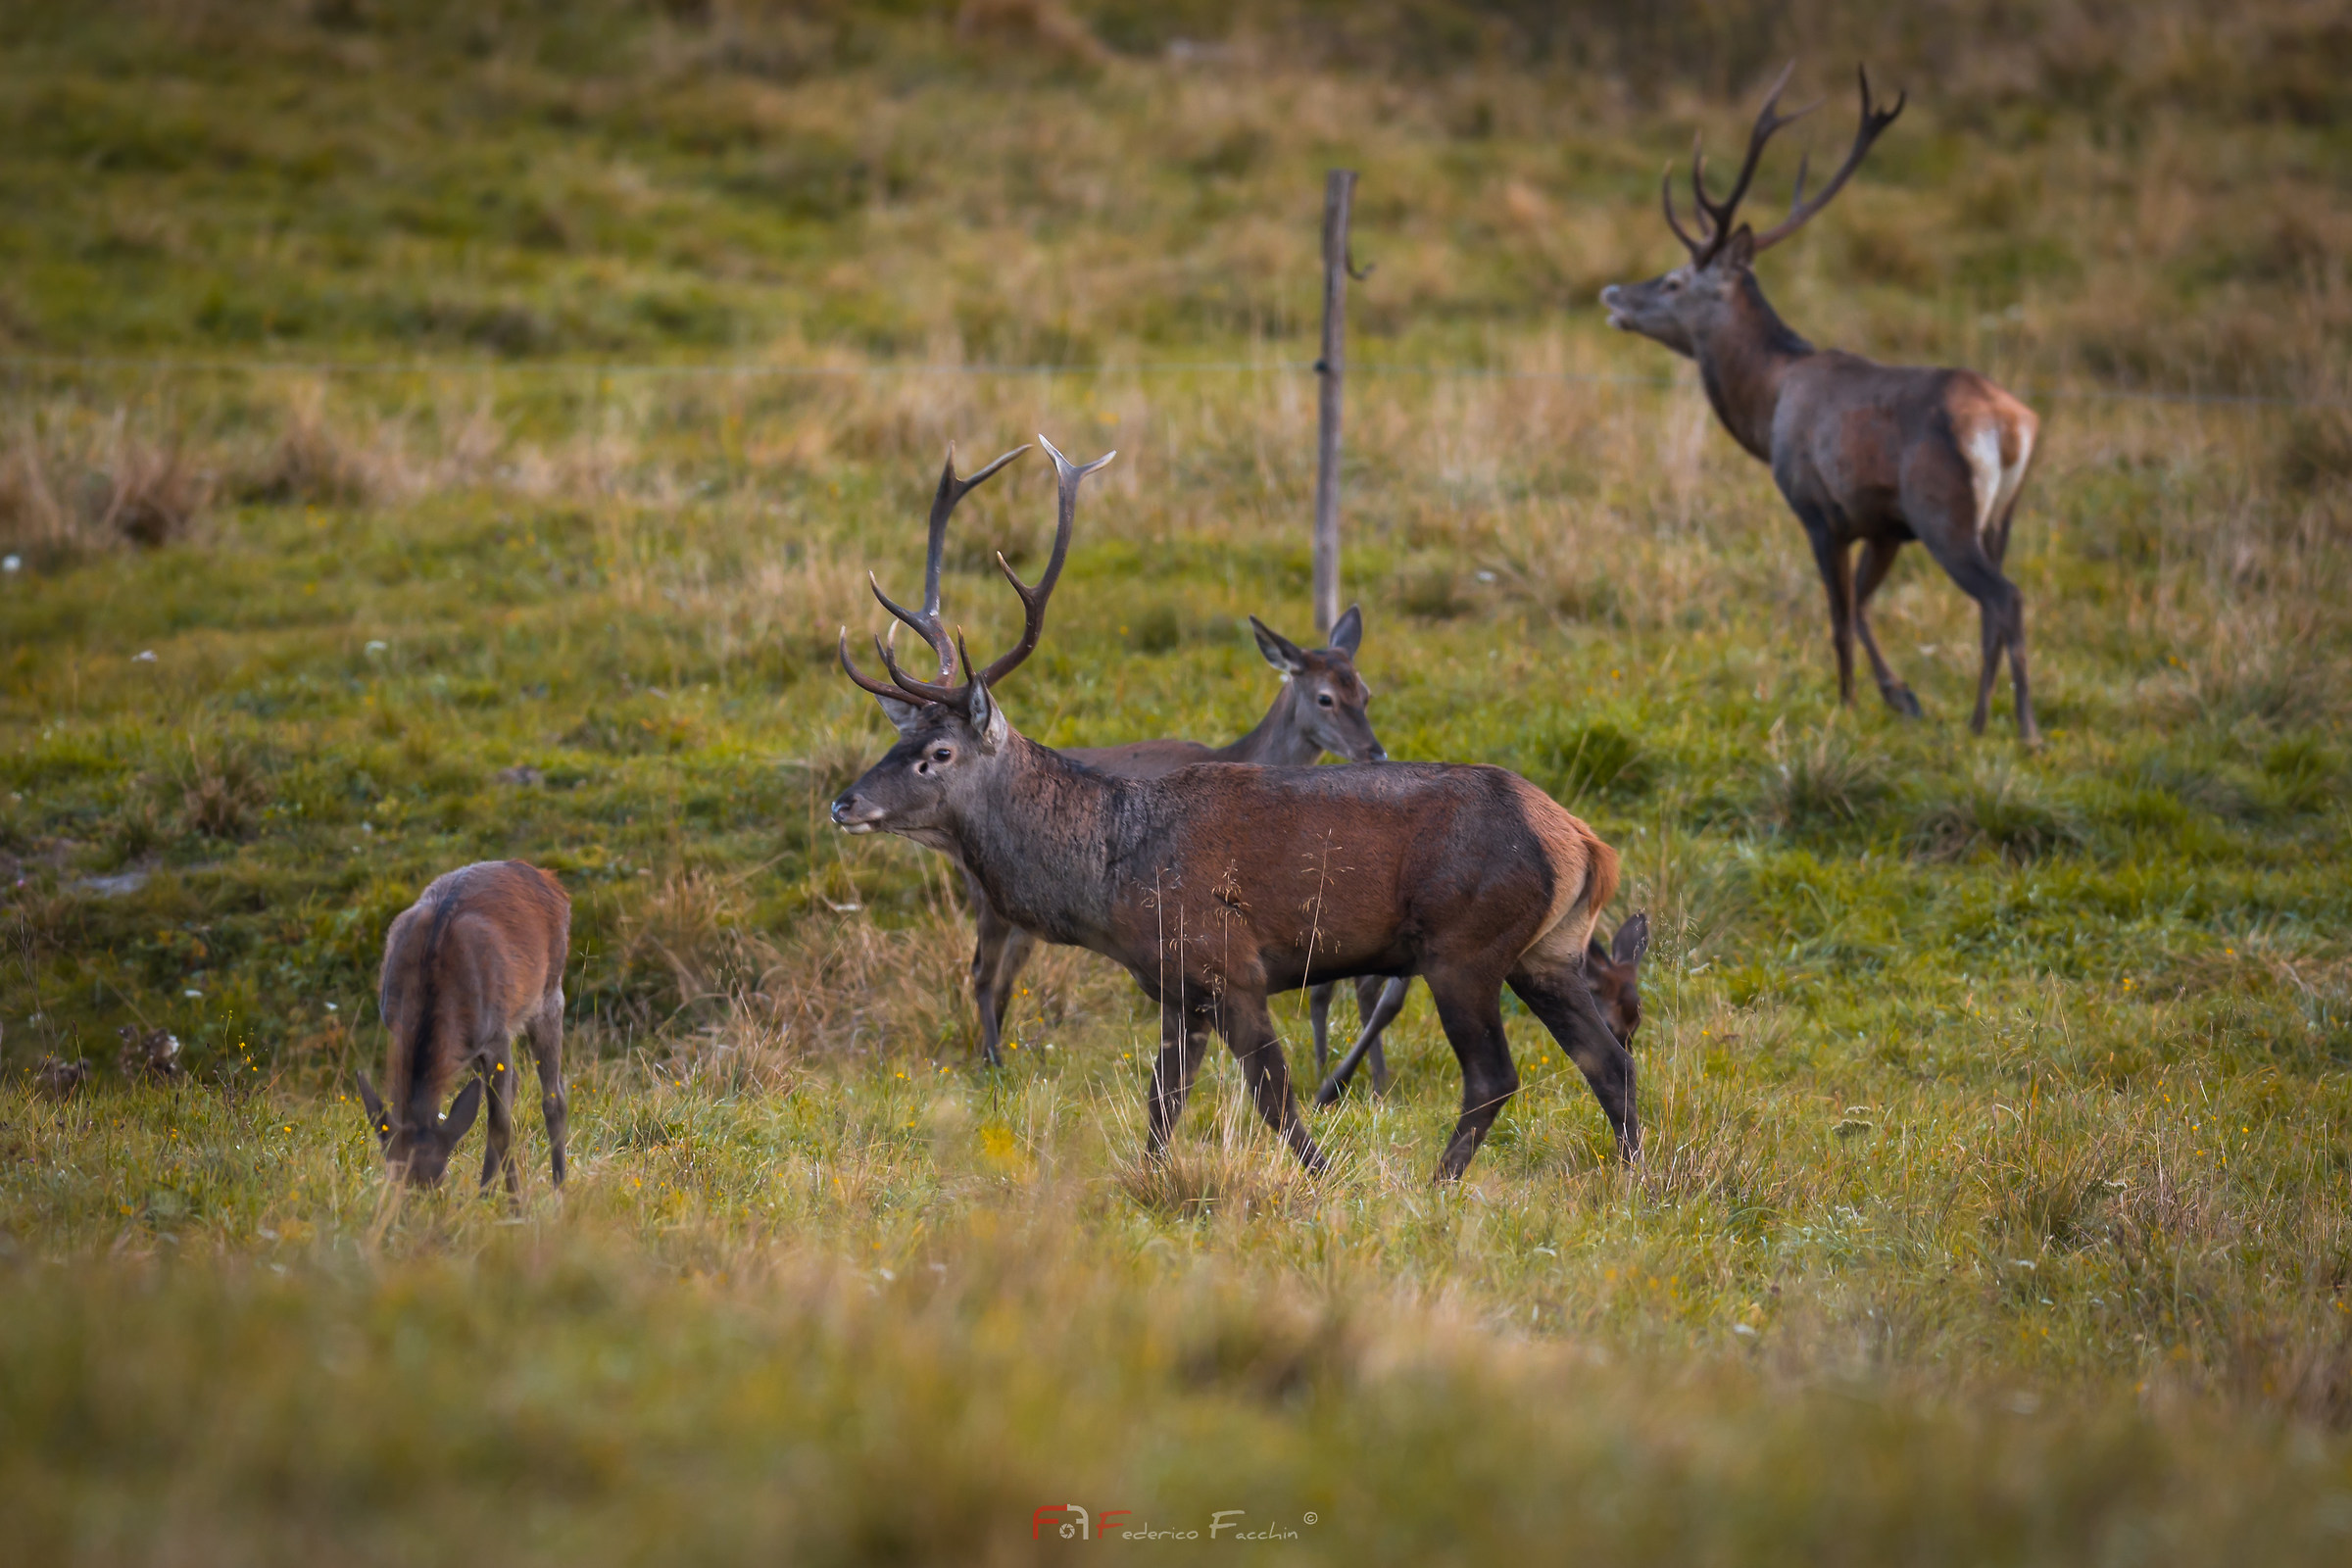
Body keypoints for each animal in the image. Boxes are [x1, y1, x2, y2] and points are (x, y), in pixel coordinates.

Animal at [355, 860, 571, 1192]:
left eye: (439, 1177)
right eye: (395, 1179)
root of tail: (551, 880)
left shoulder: (496, 1033)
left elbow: (500, 1125)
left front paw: (516, 1202)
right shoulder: (395, 1026)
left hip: (550, 992)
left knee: (553, 1096)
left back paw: (558, 1188)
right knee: (515, 1086)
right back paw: (484, 1192)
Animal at [832, 437, 1638, 1181]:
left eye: (939, 753)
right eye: (898, 738)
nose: (844, 802)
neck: (1108, 873)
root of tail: (1587, 846)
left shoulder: (1229, 963)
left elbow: (1273, 1096)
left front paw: (1326, 1180)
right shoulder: (1174, 985)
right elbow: (1163, 1101)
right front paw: (1150, 1183)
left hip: (1464, 946)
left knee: (1495, 1075)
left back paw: (1442, 1184)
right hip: (1548, 951)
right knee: (1609, 1061)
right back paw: (1637, 1177)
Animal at [1599, 64, 2042, 744]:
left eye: (1673, 281)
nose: (1613, 293)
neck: (1771, 400)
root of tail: (2011, 425)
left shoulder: (1817, 506)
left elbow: (1838, 614)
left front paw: (1848, 703)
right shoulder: (1881, 523)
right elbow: (1860, 604)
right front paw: (1901, 695)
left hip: (1942, 509)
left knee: (2004, 597)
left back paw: (2019, 727)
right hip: (2000, 517)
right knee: (1993, 603)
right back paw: (1978, 718)